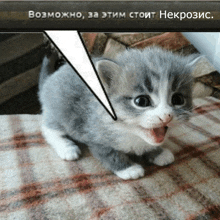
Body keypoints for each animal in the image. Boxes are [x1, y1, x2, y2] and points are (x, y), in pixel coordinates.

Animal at [38, 47, 200, 180]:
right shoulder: (93, 132)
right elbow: (109, 153)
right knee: (49, 128)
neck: (129, 132)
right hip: (58, 111)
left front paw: (158, 153)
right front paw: (128, 169)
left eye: (178, 99)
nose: (167, 115)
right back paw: (67, 147)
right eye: (141, 101)